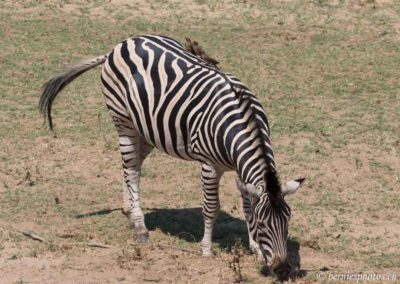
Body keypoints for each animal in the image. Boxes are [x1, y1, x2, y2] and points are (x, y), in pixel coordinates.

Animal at [39, 35, 304, 278]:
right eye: (263, 225)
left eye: (288, 221)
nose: (282, 270)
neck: (242, 122)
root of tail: (121, 44)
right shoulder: (209, 166)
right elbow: (211, 208)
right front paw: (206, 249)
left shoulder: (242, 169)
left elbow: (247, 206)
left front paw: (255, 248)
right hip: (123, 122)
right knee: (131, 169)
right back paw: (140, 227)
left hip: (146, 130)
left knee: (131, 167)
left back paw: (128, 209)